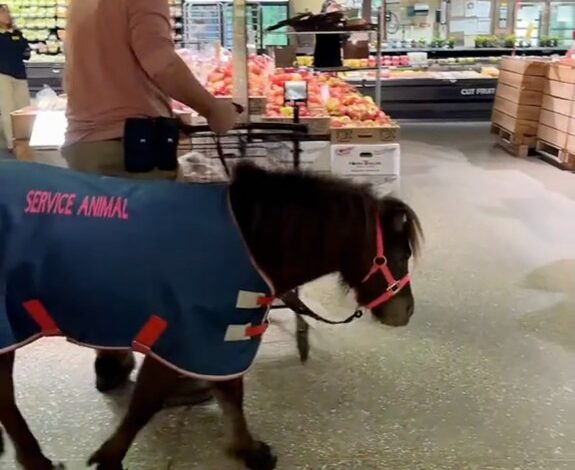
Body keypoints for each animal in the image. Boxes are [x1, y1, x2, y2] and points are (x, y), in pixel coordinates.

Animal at [0, 160, 424, 468]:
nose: (405, 311)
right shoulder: (186, 339)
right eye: (399, 254)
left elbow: (231, 394)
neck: (249, 238)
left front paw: (247, 448)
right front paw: (110, 457)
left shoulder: (222, 335)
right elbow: (144, 405)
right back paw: (35, 459)